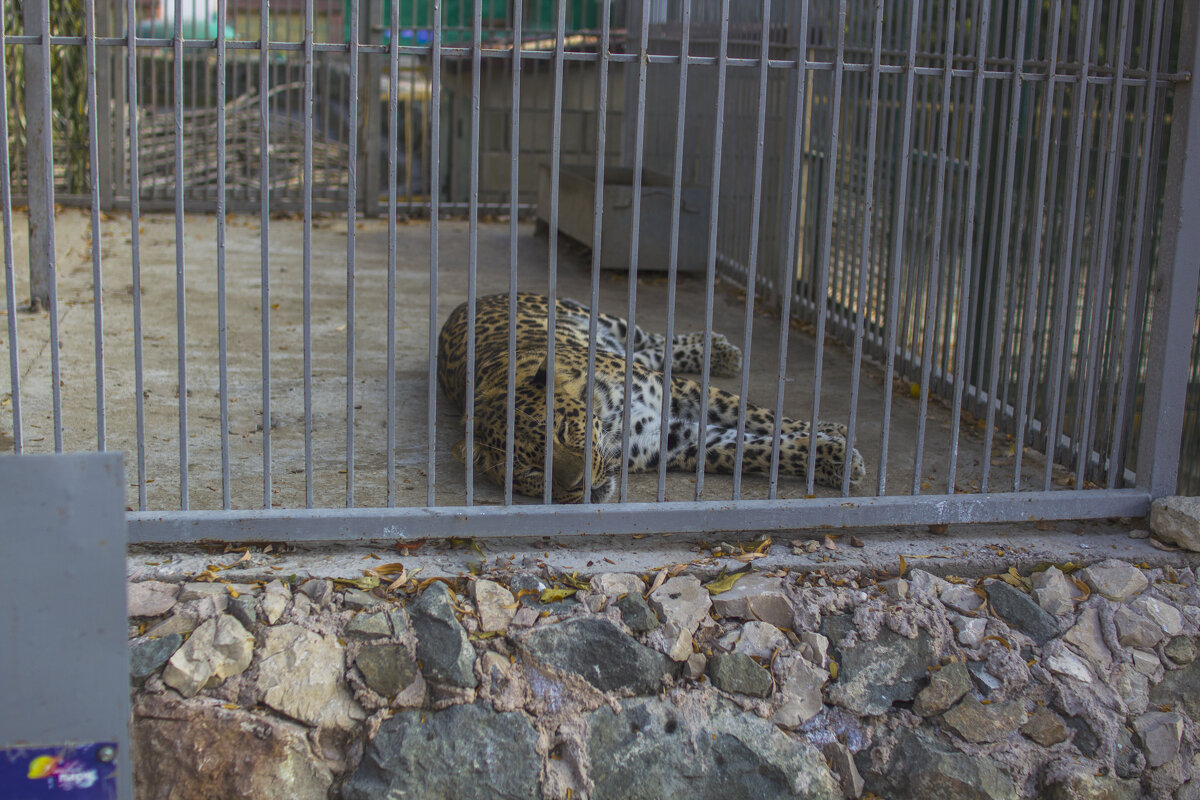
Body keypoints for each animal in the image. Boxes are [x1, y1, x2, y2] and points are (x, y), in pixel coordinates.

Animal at [436, 293, 868, 503]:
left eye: (563, 431)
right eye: (526, 471)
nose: (579, 484)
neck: (610, 418)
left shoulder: (679, 391)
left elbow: (757, 415)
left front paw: (835, 440)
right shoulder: (673, 442)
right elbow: (751, 450)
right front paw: (832, 457)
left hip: (605, 321)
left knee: (649, 340)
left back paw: (717, 350)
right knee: (651, 349)